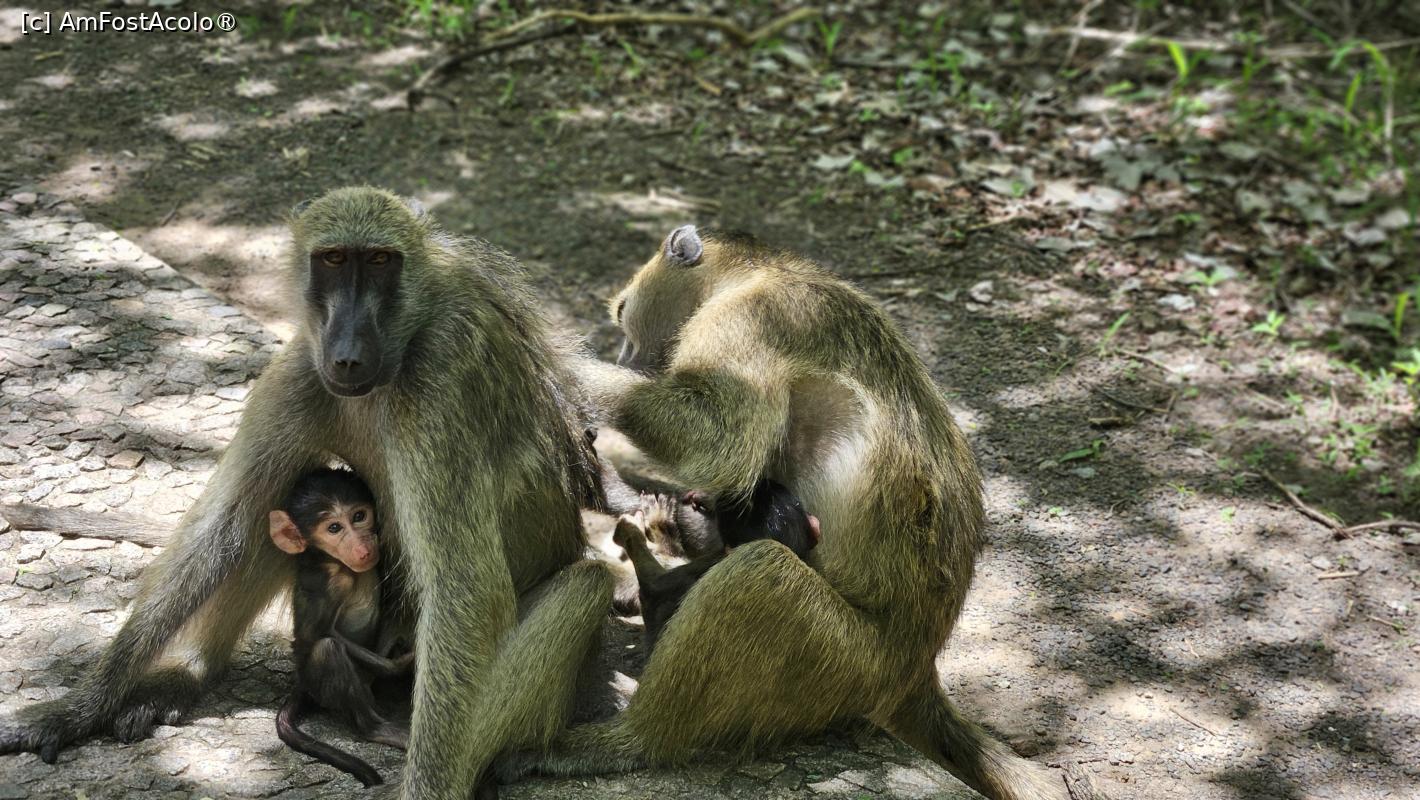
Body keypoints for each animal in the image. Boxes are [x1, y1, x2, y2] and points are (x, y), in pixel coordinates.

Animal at [269, 467, 412, 788]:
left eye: (359, 516)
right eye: (334, 528)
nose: (362, 546)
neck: (332, 560)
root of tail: (302, 685)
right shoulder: (330, 581)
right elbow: (314, 636)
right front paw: (399, 666)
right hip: (319, 684)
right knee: (326, 649)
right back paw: (375, 728)